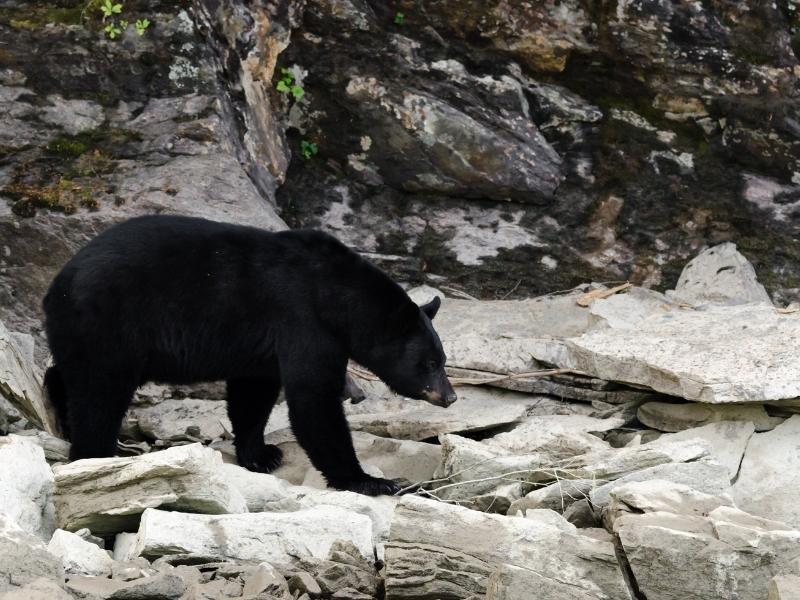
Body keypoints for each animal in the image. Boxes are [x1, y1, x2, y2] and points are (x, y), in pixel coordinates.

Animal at [42, 213, 456, 494]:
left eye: (443, 361)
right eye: (430, 363)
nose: (450, 396)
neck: (336, 293)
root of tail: (55, 286)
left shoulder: (263, 344)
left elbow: (253, 394)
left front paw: (261, 454)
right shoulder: (302, 320)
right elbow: (313, 400)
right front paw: (369, 480)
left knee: (69, 377)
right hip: (109, 325)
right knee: (99, 394)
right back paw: (95, 453)